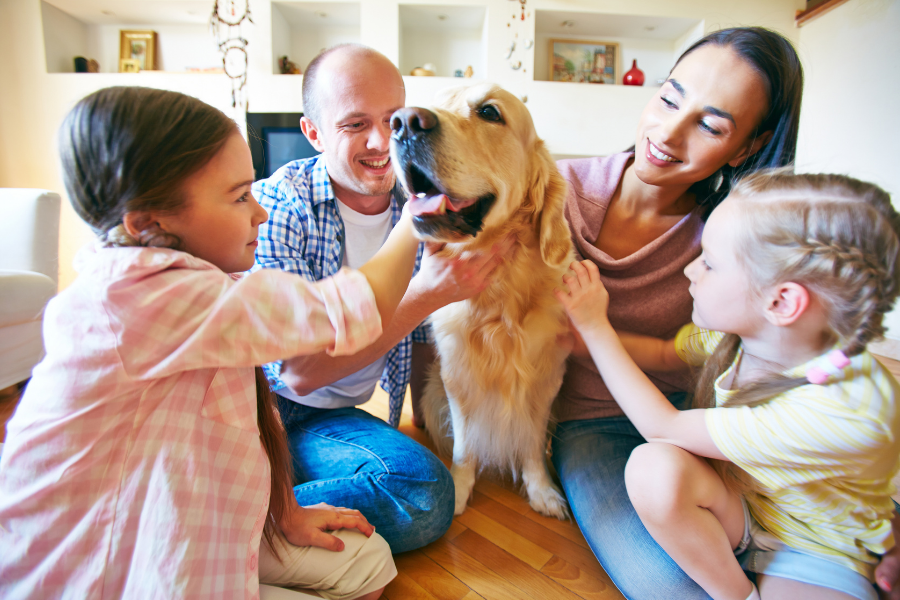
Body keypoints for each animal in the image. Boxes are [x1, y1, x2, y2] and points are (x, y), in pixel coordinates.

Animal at [390, 82, 572, 516]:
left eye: (490, 112)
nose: (403, 121)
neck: (499, 298)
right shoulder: (457, 376)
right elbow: (465, 444)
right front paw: (459, 489)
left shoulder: (546, 379)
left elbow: (531, 441)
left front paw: (541, 490)